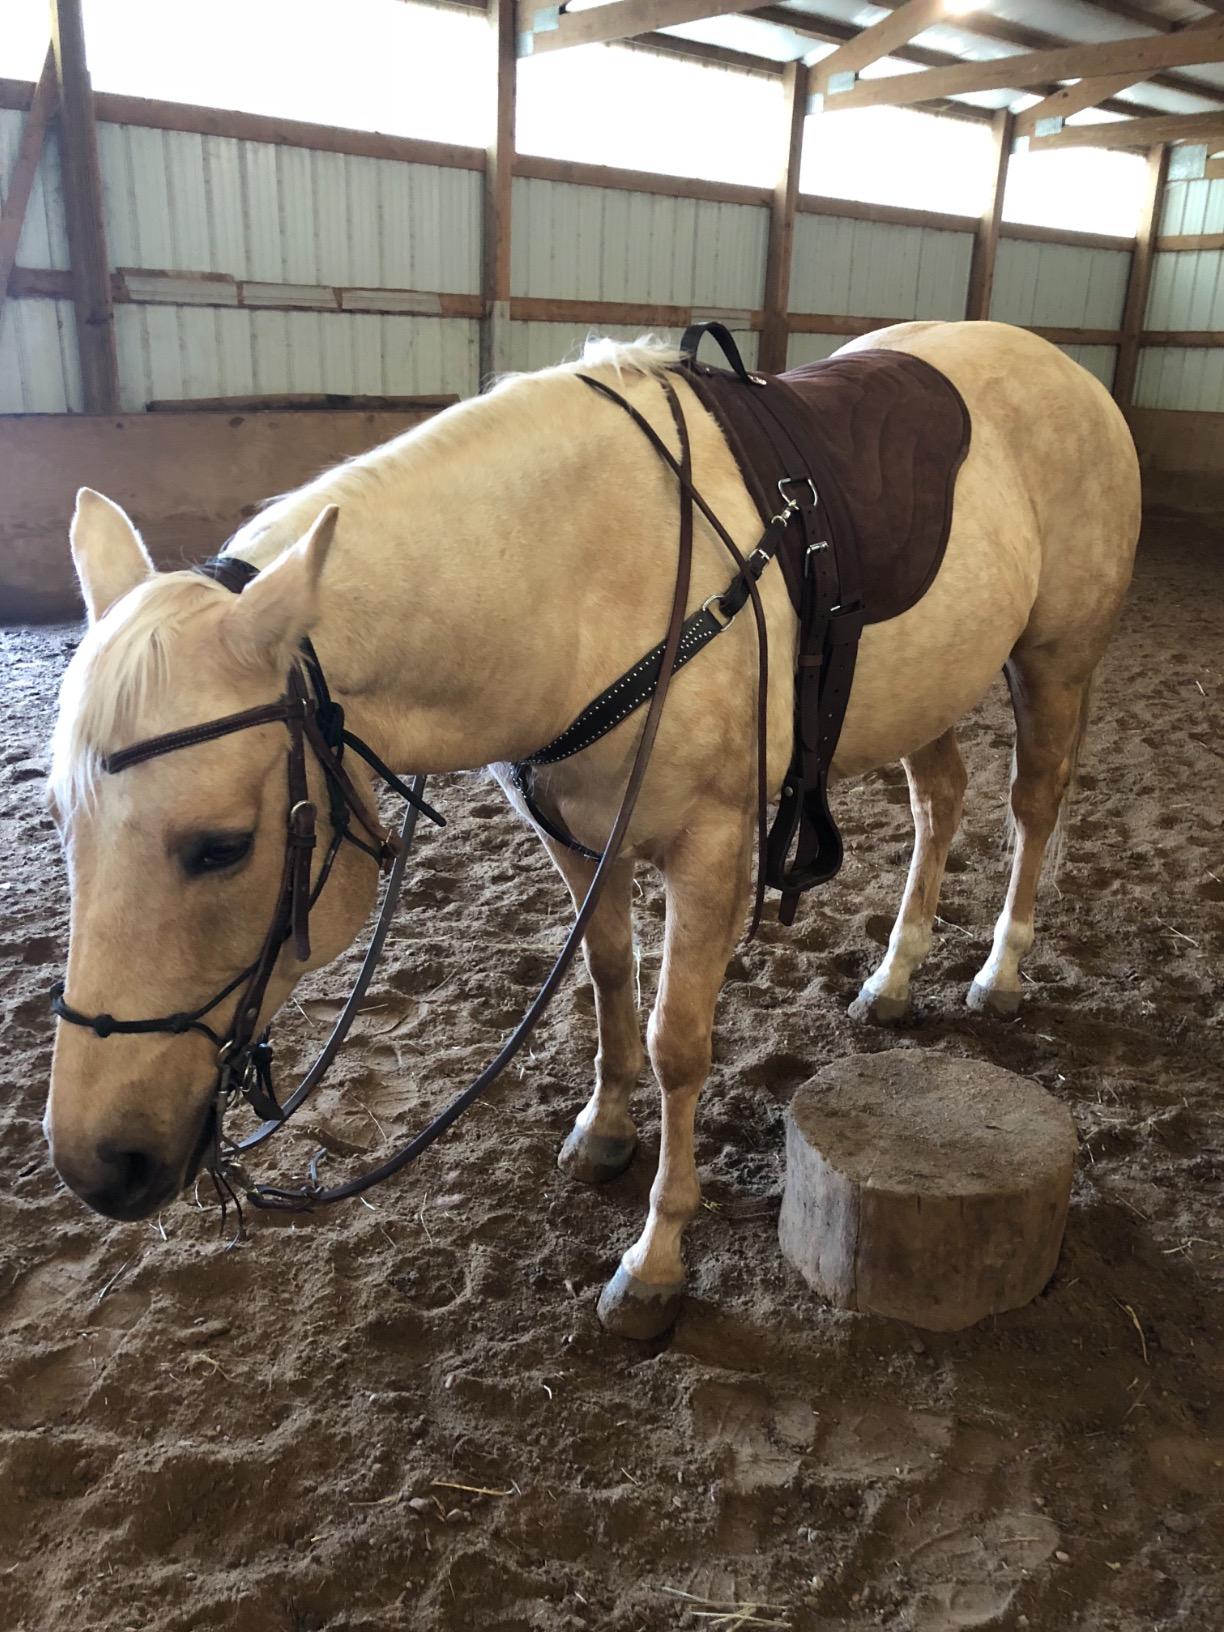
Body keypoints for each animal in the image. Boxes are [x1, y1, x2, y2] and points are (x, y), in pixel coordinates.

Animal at [44, 319, 1139, 1339]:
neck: (571, 585)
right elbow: (611, 976)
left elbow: (677, 1041)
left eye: (221, 847)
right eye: (60, 822)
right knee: (941, 799)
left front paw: (654, 1261)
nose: (99, 1163)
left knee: (1034, 803)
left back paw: (999, 972)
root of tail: (1064, 367)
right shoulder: (574, 837)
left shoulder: (711, 847)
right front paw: (606, 1132)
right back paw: (895, 978)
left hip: (1056, 658)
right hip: (924, 690)